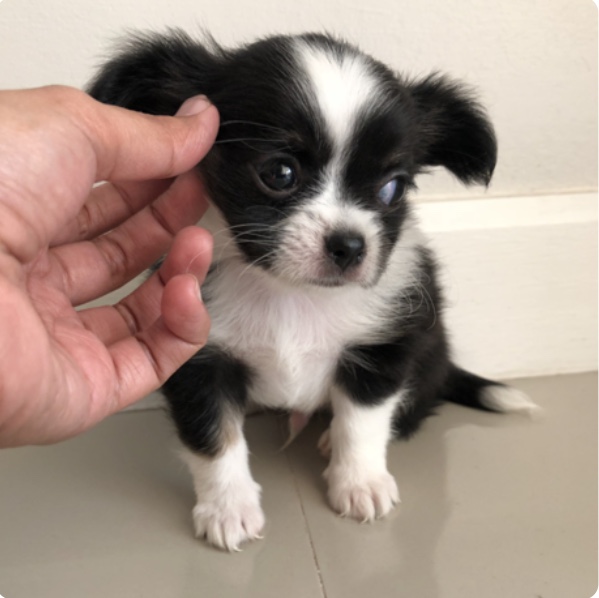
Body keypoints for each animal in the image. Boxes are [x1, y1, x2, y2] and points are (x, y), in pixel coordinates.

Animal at [89, 30, 538, 551]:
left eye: (392, 188)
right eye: (280, 173)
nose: (350, 245)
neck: (291, 293)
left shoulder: (382, 347)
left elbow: (363, 421)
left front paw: (360, 482)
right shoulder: (199, 359)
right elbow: (214, 437)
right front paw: (228, 508)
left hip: (427, 354)